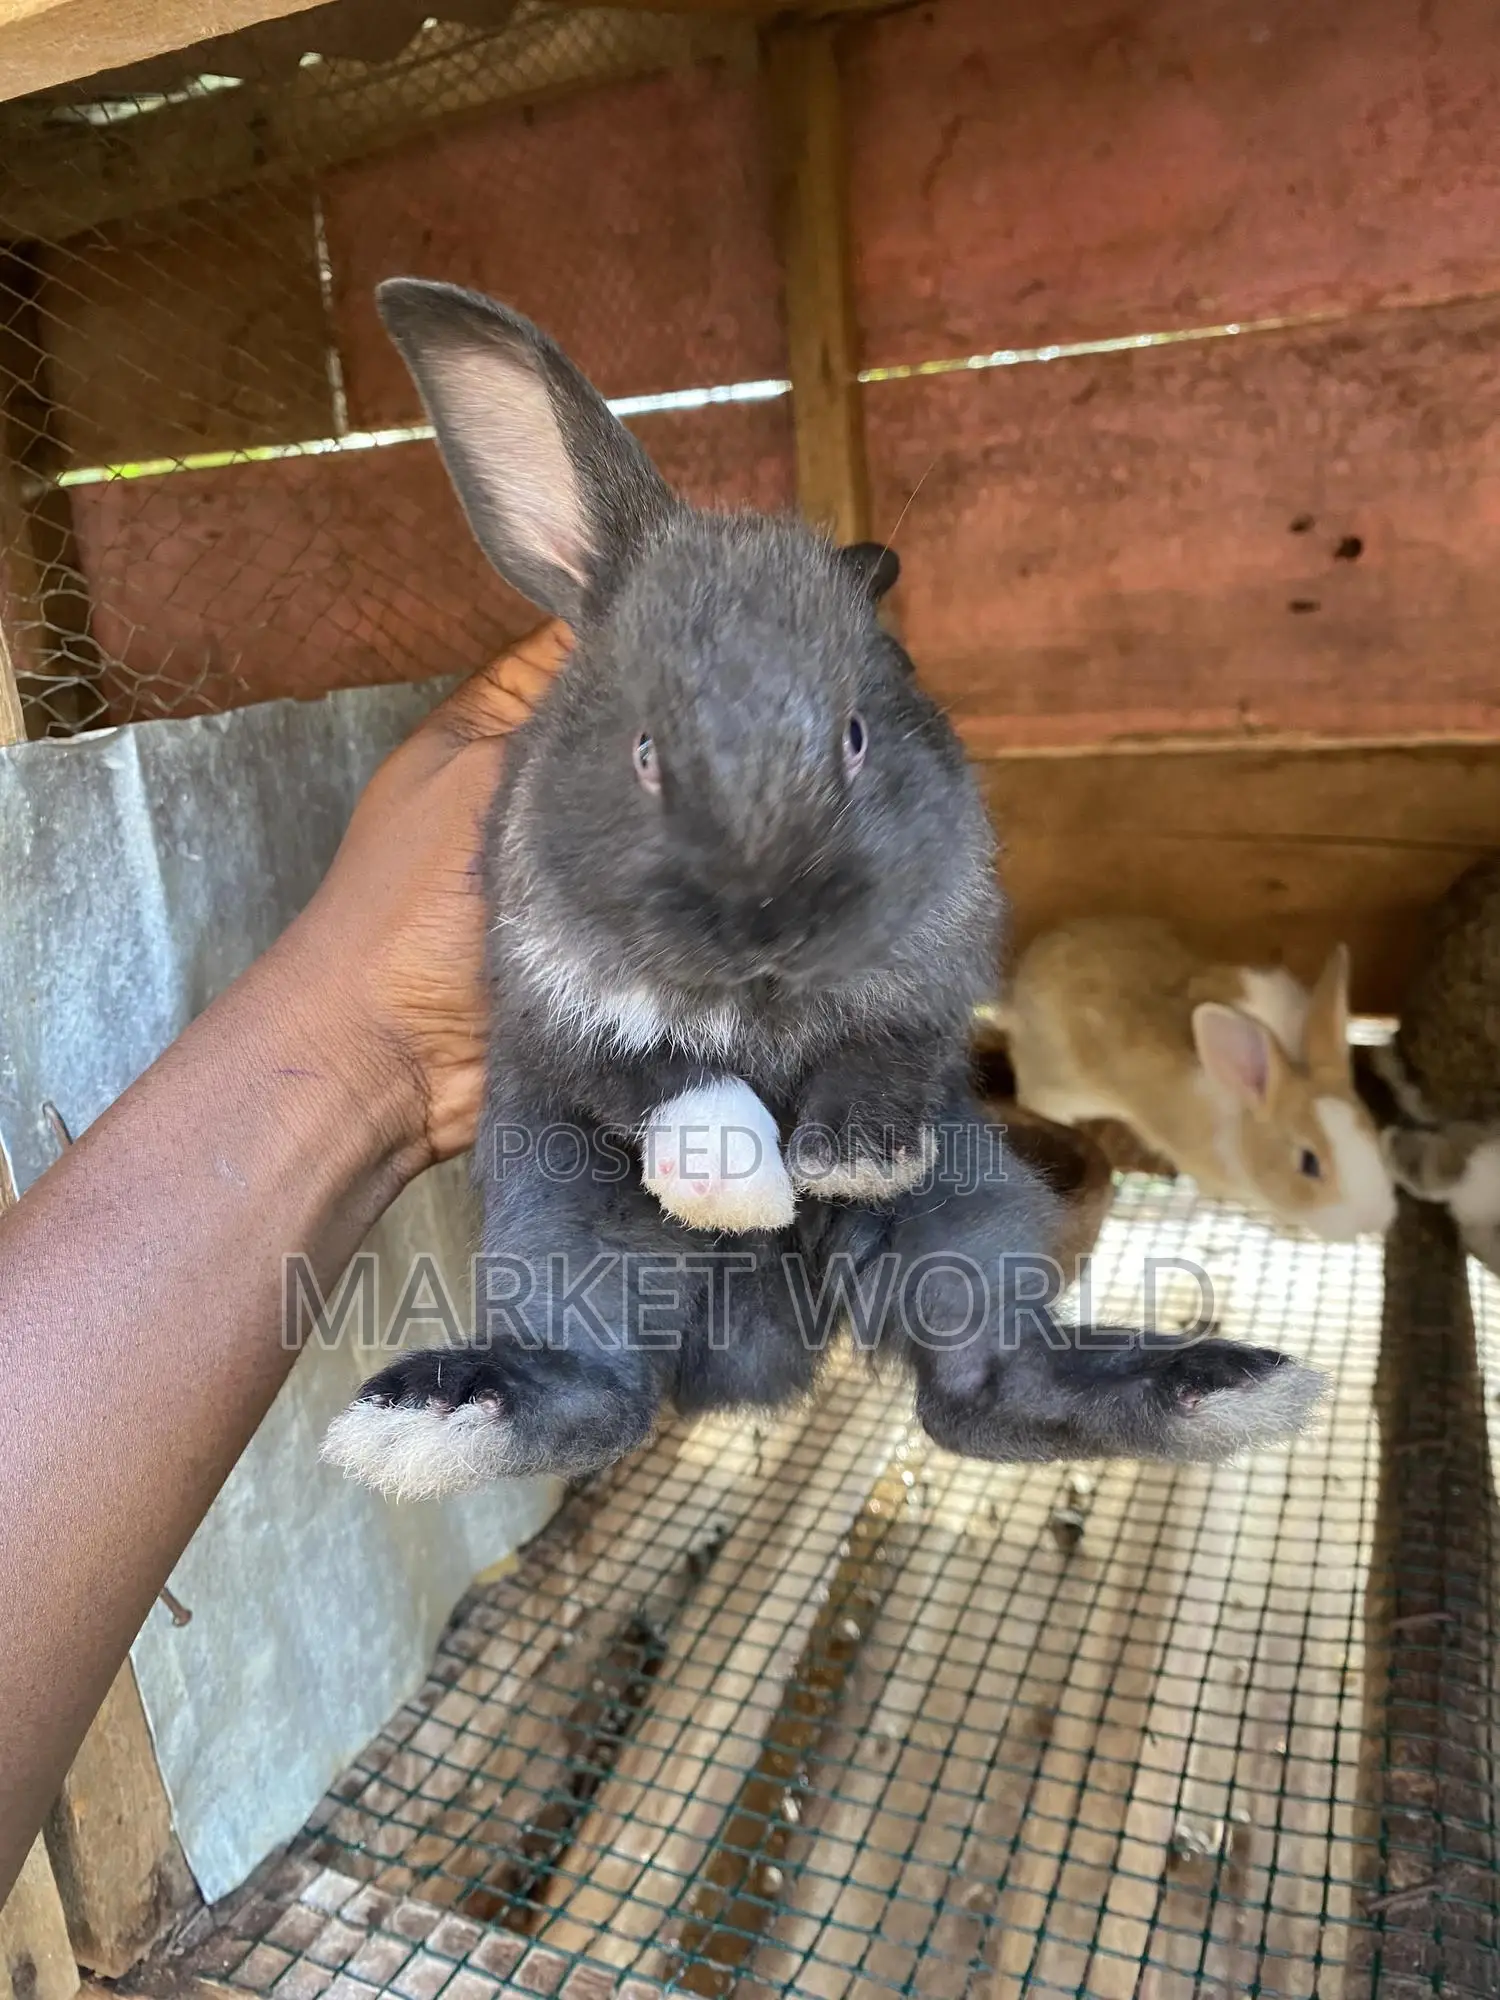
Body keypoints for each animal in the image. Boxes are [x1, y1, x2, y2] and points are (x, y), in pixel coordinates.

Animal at [320, 282, 1325, 1499]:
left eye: (856, 732)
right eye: (645, 749)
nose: (768, 920)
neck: (761, 996)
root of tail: (778, 1347)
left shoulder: (928, 990)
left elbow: (880, 1066)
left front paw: (844, 1166)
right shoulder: (558, 1012)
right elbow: (679, 1091)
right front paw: (751, 1191)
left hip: (978, 1206)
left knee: (980, 1388)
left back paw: (1220, 1384)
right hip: (557, 1215)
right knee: (605, 1392)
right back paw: (432, 1415)